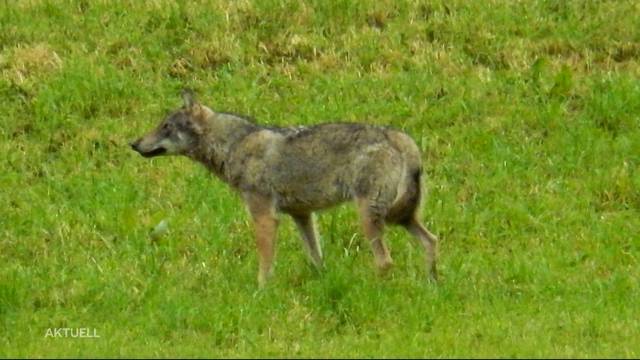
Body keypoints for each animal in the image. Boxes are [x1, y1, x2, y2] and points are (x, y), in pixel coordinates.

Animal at [131, 90, 440, 286]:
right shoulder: (301, 215)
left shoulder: (264, 215)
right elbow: (316, 257)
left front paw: (260, 293)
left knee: (385, 261)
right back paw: (431, 285)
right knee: (431, 240)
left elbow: (265, 262)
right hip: (401, 217)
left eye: (166, 126)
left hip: (370, 217)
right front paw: (322, 284)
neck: (234, 146)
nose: (133, 144)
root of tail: (400, 138)